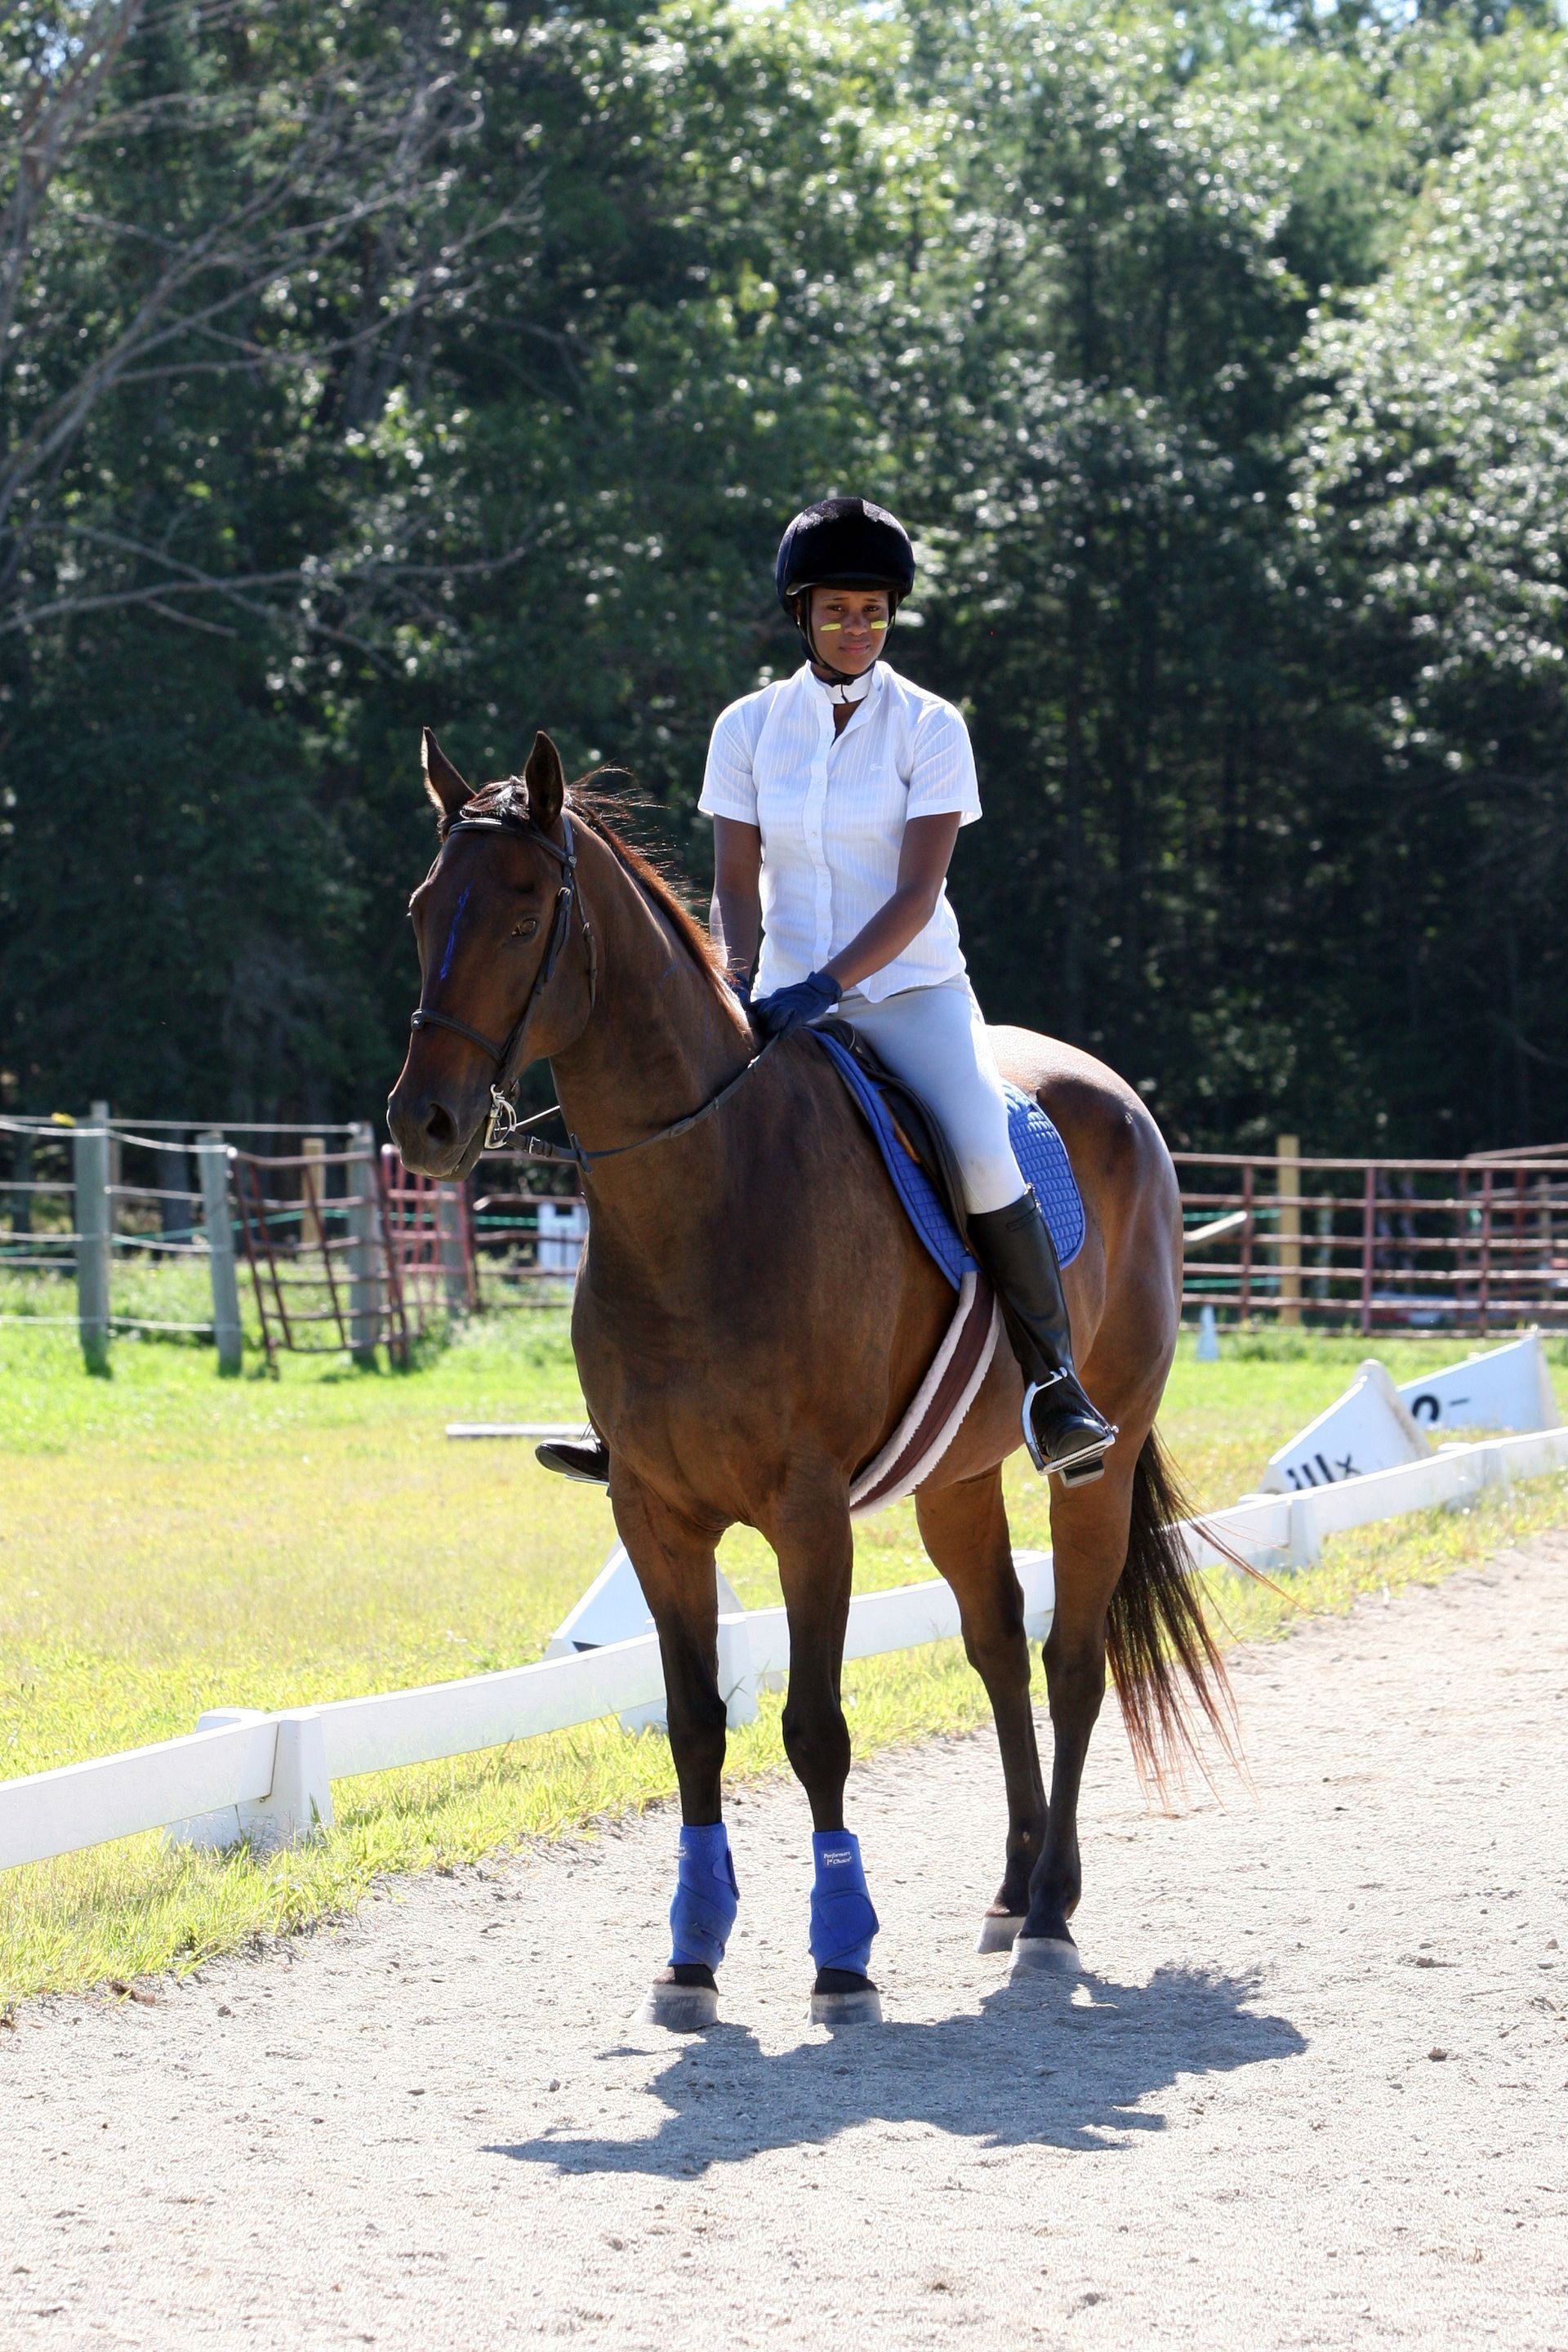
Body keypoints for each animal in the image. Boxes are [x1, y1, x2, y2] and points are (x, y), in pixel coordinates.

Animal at [388, 726, 1232, 2027]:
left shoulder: (808, 1511)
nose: (424, 1123)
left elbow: (816, 1728)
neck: (701, 1193)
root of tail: (1119, 1102)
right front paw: (691, 1955)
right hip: (956, 1479)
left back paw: (1050, 1914)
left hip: (1103, 1455)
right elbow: (695, 1727)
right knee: (997, 1647)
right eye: (426, 909)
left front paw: (842, 1957)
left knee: (1072, 1662)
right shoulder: (655, 1515)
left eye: (527, 915)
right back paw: (1010, 1891)